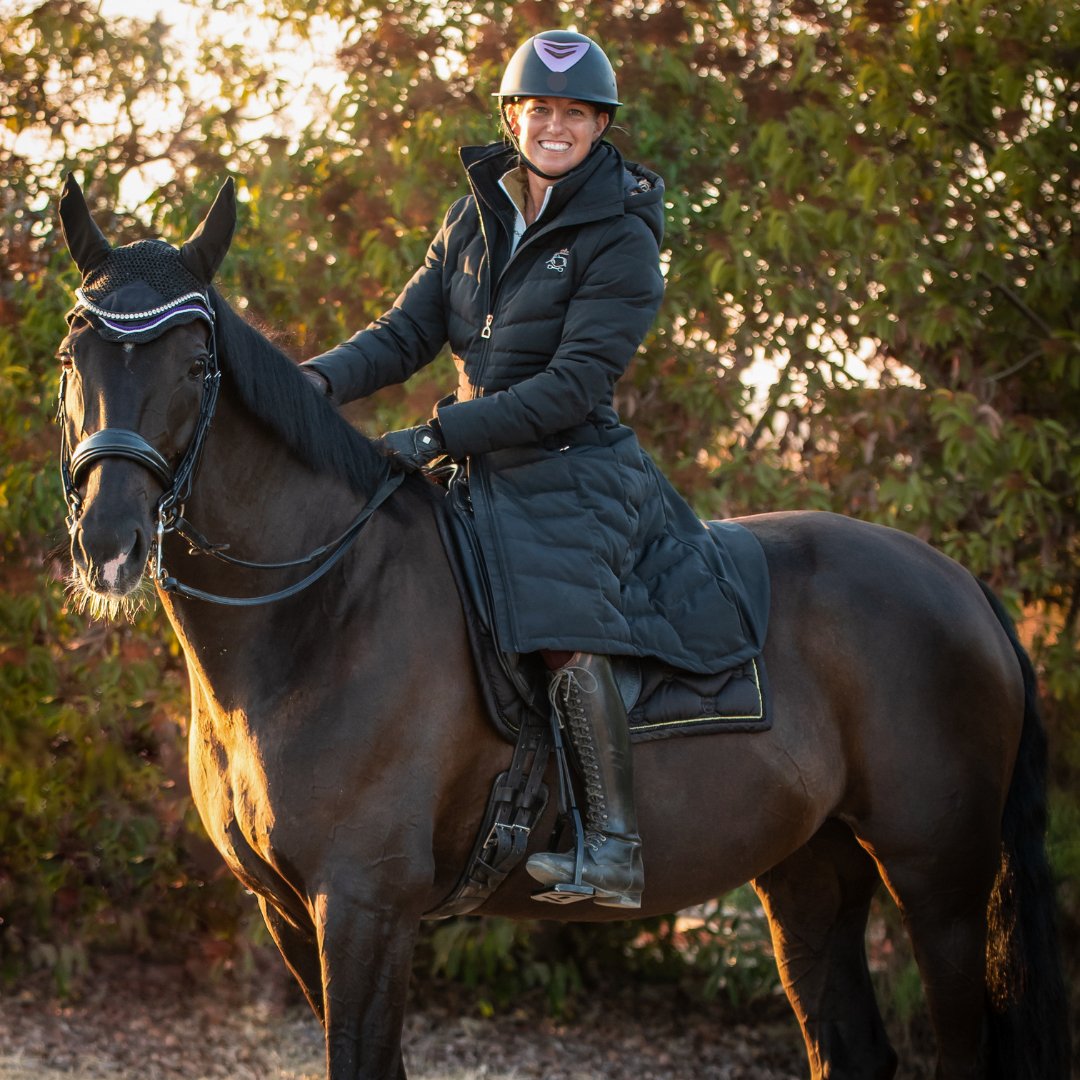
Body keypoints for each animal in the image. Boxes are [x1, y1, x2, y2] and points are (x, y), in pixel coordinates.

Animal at [52, 177, 1071, 1080]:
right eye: (75, 360)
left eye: (195, 366)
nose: (110, 542)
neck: (321, 613)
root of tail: (960, 585)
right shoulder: (293, 916)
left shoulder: (365, 907)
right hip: (809, 871)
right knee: (849, 1048)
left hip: (939, 879)